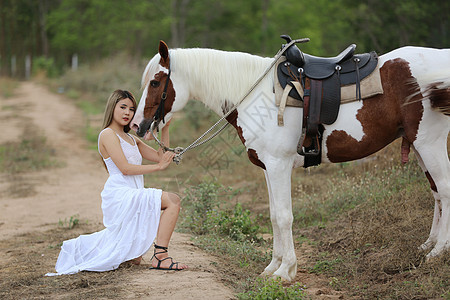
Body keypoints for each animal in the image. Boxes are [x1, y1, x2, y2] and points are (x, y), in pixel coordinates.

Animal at [132, 40, 450, 282]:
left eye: (156, 82)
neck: (258, 95)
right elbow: (274, 216)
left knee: (445, 190)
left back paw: (438, 252)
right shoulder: (268, 169)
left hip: (429, 144)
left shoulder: (279, 166)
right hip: (418, 147)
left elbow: (285, 216)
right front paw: (273, 266)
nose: (137, 126)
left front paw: (286, 271)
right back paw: (428, 246)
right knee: (436, 192)